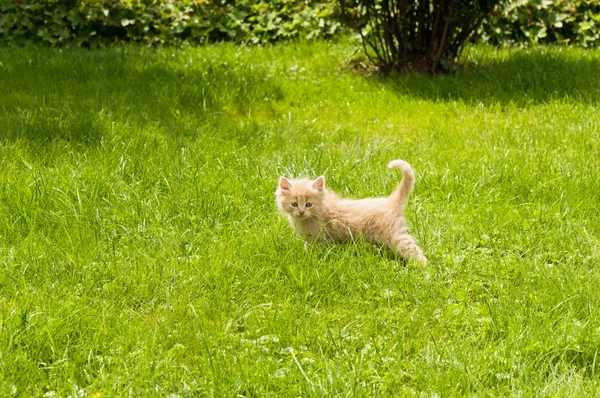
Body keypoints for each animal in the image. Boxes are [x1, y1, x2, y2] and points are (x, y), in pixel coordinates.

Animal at [276, 159, 426, 264]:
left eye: (308, 204)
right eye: (294, 204)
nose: (301, 212)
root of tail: (391, 201)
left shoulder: (318, 238)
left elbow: (313, 250)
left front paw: (310, 259)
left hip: (395, 235)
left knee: (415, 251)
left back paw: (424, 270)